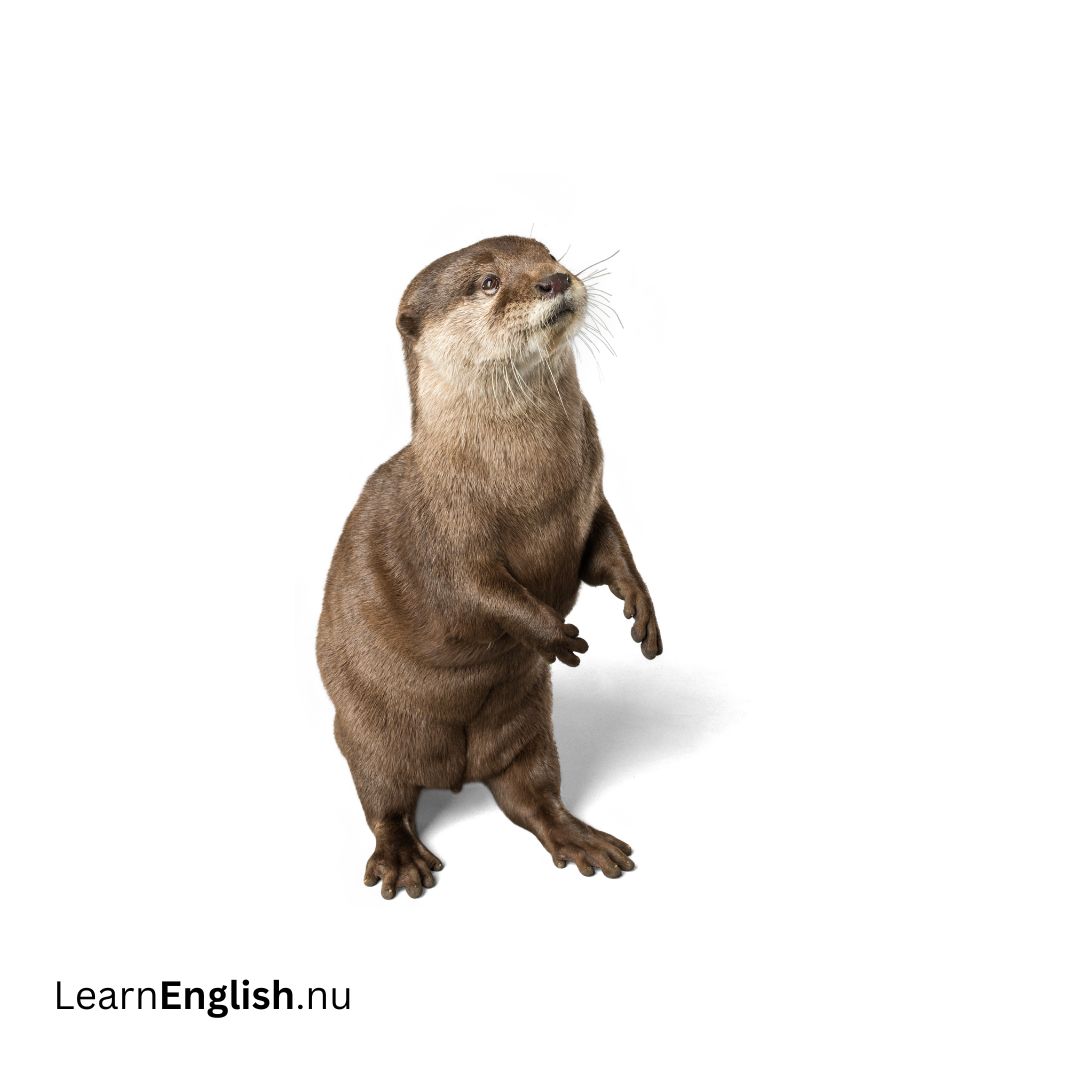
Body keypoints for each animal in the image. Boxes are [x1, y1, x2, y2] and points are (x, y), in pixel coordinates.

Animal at [316, 235, 662, 899]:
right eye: (489, 282)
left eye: (548, 254)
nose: (554, 280)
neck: (529, 486)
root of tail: (455, 774)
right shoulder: (446, 534)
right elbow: (480, 591)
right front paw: (557, 635)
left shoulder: (591, 497)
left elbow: (608, 549)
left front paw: (640, 606)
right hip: (365, 731)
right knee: (383, 800)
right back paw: (402, 858)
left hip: (529, 727)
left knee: (532, 795)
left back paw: (580, 838)